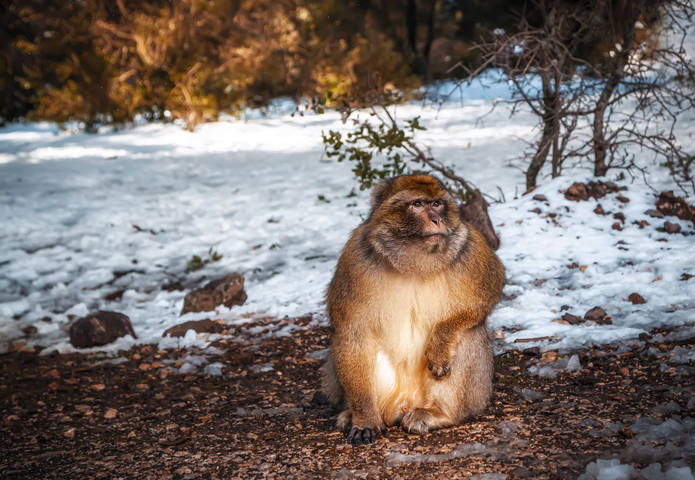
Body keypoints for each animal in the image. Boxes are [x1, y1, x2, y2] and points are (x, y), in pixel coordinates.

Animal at [321, 174, 504, 445]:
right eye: (418, 204)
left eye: (437, 203)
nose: (437, 219)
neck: (413, 261)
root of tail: (404, 404)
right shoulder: (355, 260)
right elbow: (352, 333)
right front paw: (364, 419)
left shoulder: (468, 246)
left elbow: (488, 292)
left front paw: (440, 343)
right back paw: (352, 414)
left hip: (474, 397)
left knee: (469, 334)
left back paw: (439, 413)